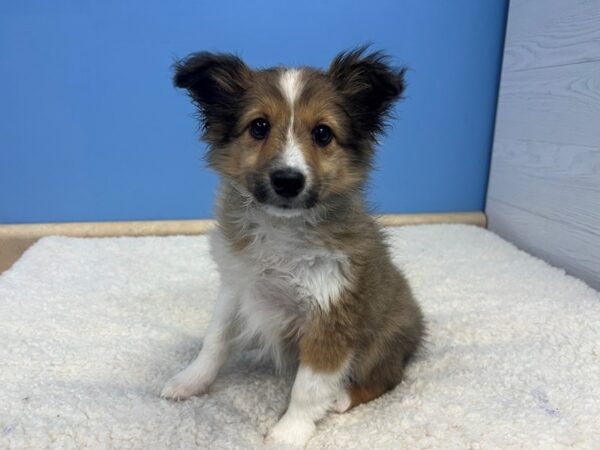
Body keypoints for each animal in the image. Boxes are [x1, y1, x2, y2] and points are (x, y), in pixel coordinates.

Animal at [163, 46, 426, 446]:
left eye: (322, 133)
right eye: (259, 126)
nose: (287, 180)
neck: (282, 229)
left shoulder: (330, 313)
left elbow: (309, 385)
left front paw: (288, 433)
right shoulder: (237, 287)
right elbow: (215, 340)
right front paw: (190, 381)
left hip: (384, 343)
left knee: (387, 377)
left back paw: (343, 396)